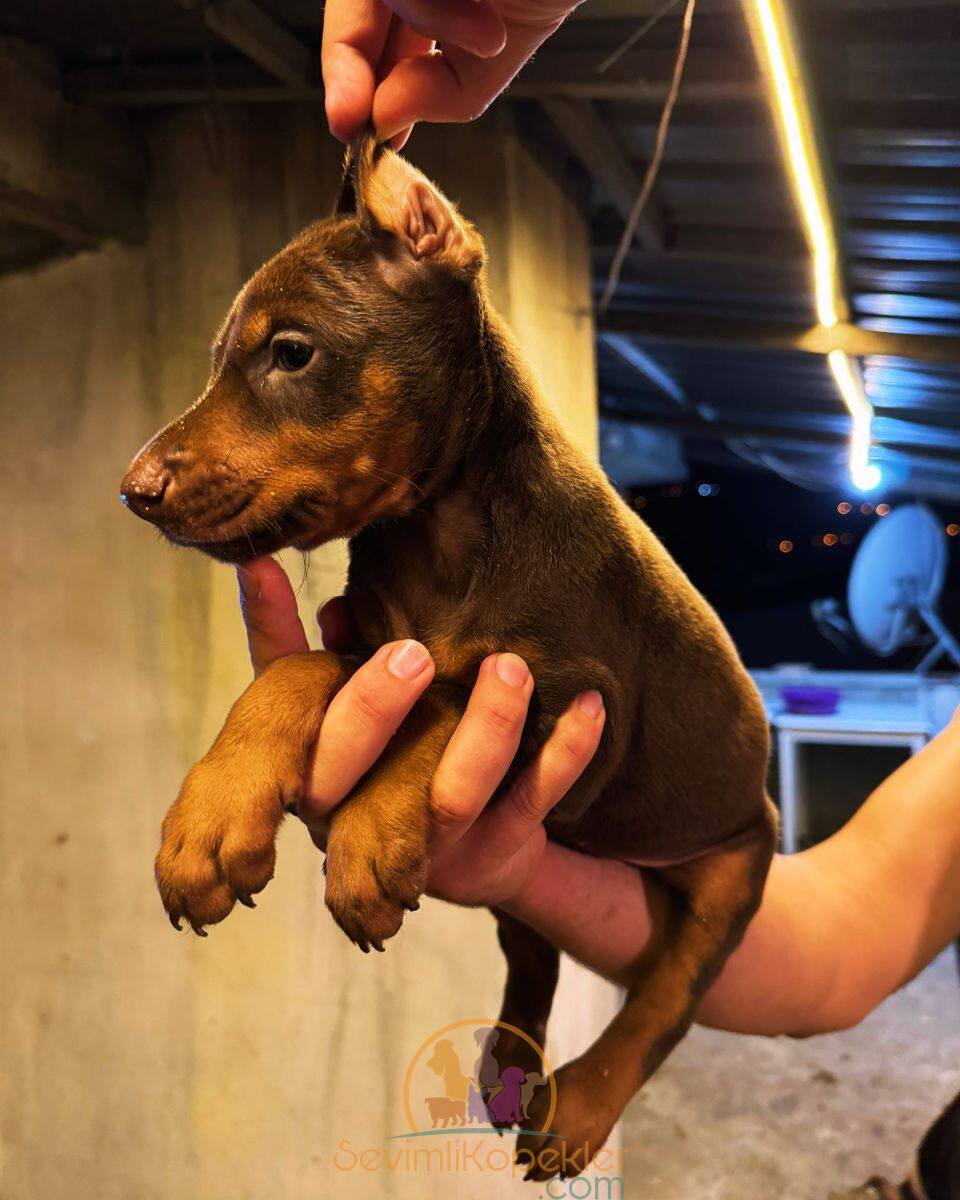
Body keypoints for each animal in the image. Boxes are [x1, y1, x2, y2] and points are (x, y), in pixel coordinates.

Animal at [121, 133, 777, 1180]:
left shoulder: (577, 702)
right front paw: (211, 821)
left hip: (736, 861)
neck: (438, 530)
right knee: (535, 952)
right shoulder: (369, 635)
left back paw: (578, 1104)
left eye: (291, 352)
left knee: (667, 1000)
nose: (133, 489)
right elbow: (307, 670)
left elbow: (447, 695)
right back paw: (509, 1062)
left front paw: (363, 836)